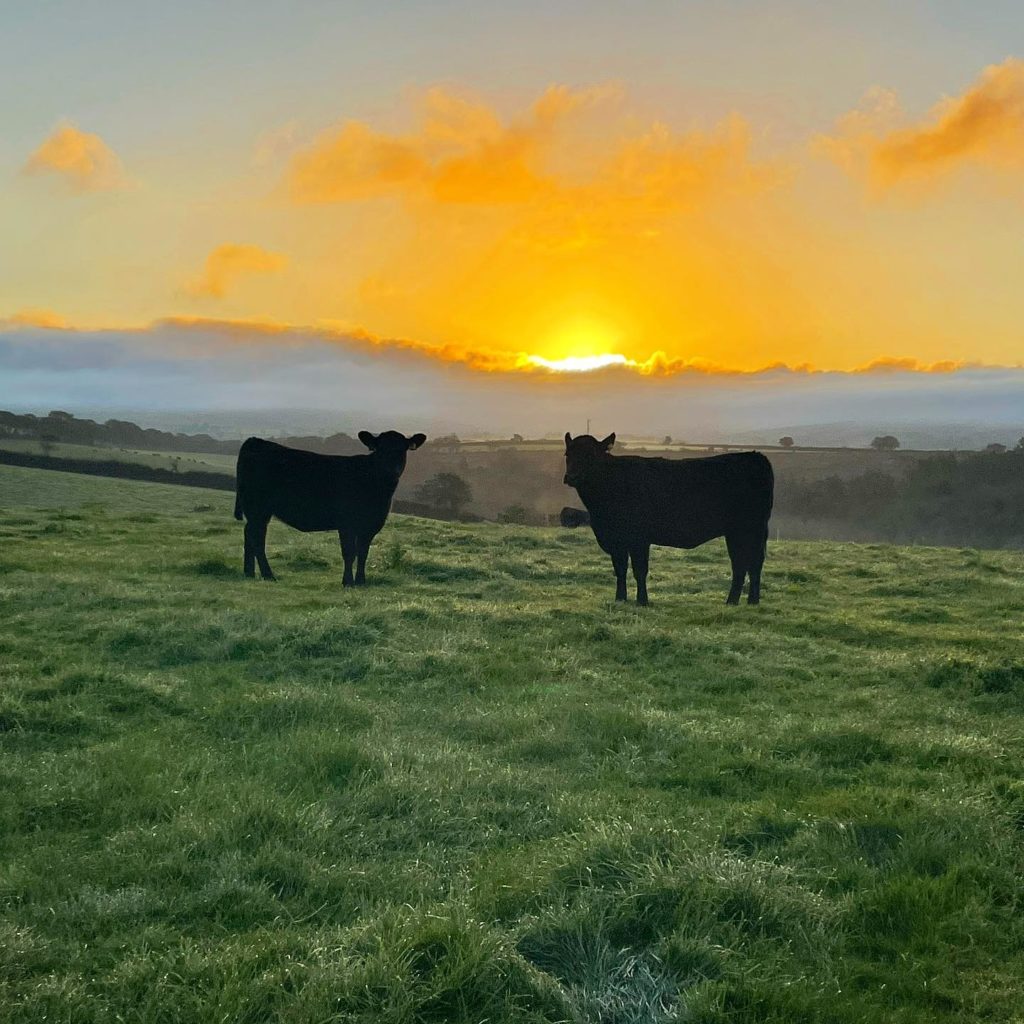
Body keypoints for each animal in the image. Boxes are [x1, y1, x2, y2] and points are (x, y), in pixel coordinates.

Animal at [234, 425, 423, 585]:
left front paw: (361, 581)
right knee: (257, 538)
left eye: (402, 449)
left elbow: (363, 553)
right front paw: (348, 582)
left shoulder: (371, 524)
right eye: (379, 449)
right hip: (258, 508)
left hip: (258, 512)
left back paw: (249, 572)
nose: (392, 470)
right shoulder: (347, 523)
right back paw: (268, 575)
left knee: (249, 534)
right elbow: (349, 552)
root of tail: (255, 441)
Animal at [565, 434, 770, 606]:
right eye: (568, 454)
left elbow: (639, 570)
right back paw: (746, 601)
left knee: (748, 563)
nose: (571, 477)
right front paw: (620, 599)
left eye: (591, 455)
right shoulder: (616, 540)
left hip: (748, 530)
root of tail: (755, 456)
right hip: (739, 533)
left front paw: (642, 601)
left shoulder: (639, 539)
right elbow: (620, 570)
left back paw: (738, 601)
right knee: (747, 563)